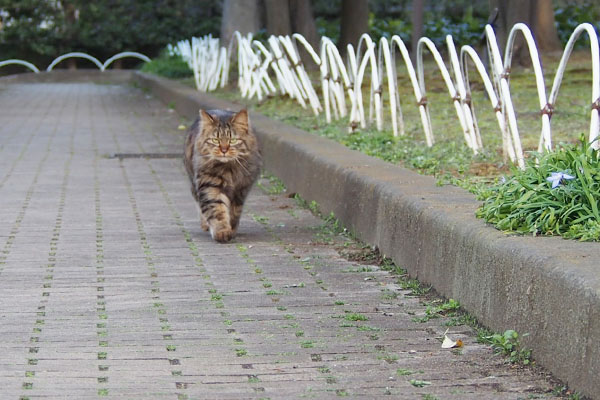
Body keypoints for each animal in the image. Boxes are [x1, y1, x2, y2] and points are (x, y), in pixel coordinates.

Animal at [184, 108, 262, 242]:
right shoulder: (210, 186)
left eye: (233, 140)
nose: (224, 150)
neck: (229, 169)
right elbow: (217, 211)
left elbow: (234, 212)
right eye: (215, 140)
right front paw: (222, 232)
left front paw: (232, 229)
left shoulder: (240, 191)